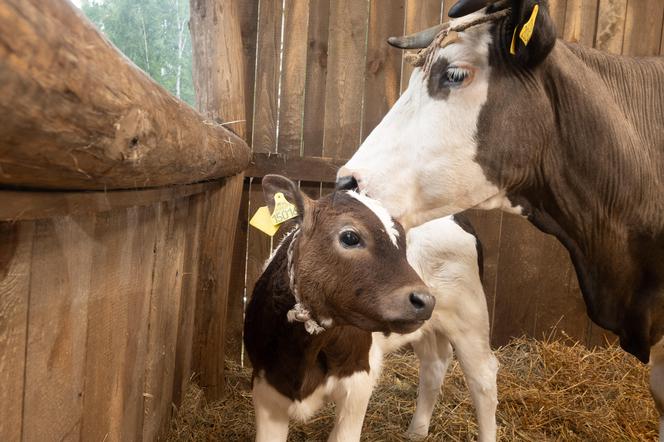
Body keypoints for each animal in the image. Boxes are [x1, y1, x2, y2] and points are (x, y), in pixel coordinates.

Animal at [244, 174, 498, 440]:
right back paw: (417, 430)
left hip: (469, 315)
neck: (307, 350)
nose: (424, 300)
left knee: (483, 377)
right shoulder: (266, 386)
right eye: (350, 237)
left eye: (402, 243)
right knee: (434, 364)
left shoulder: (358, 383)